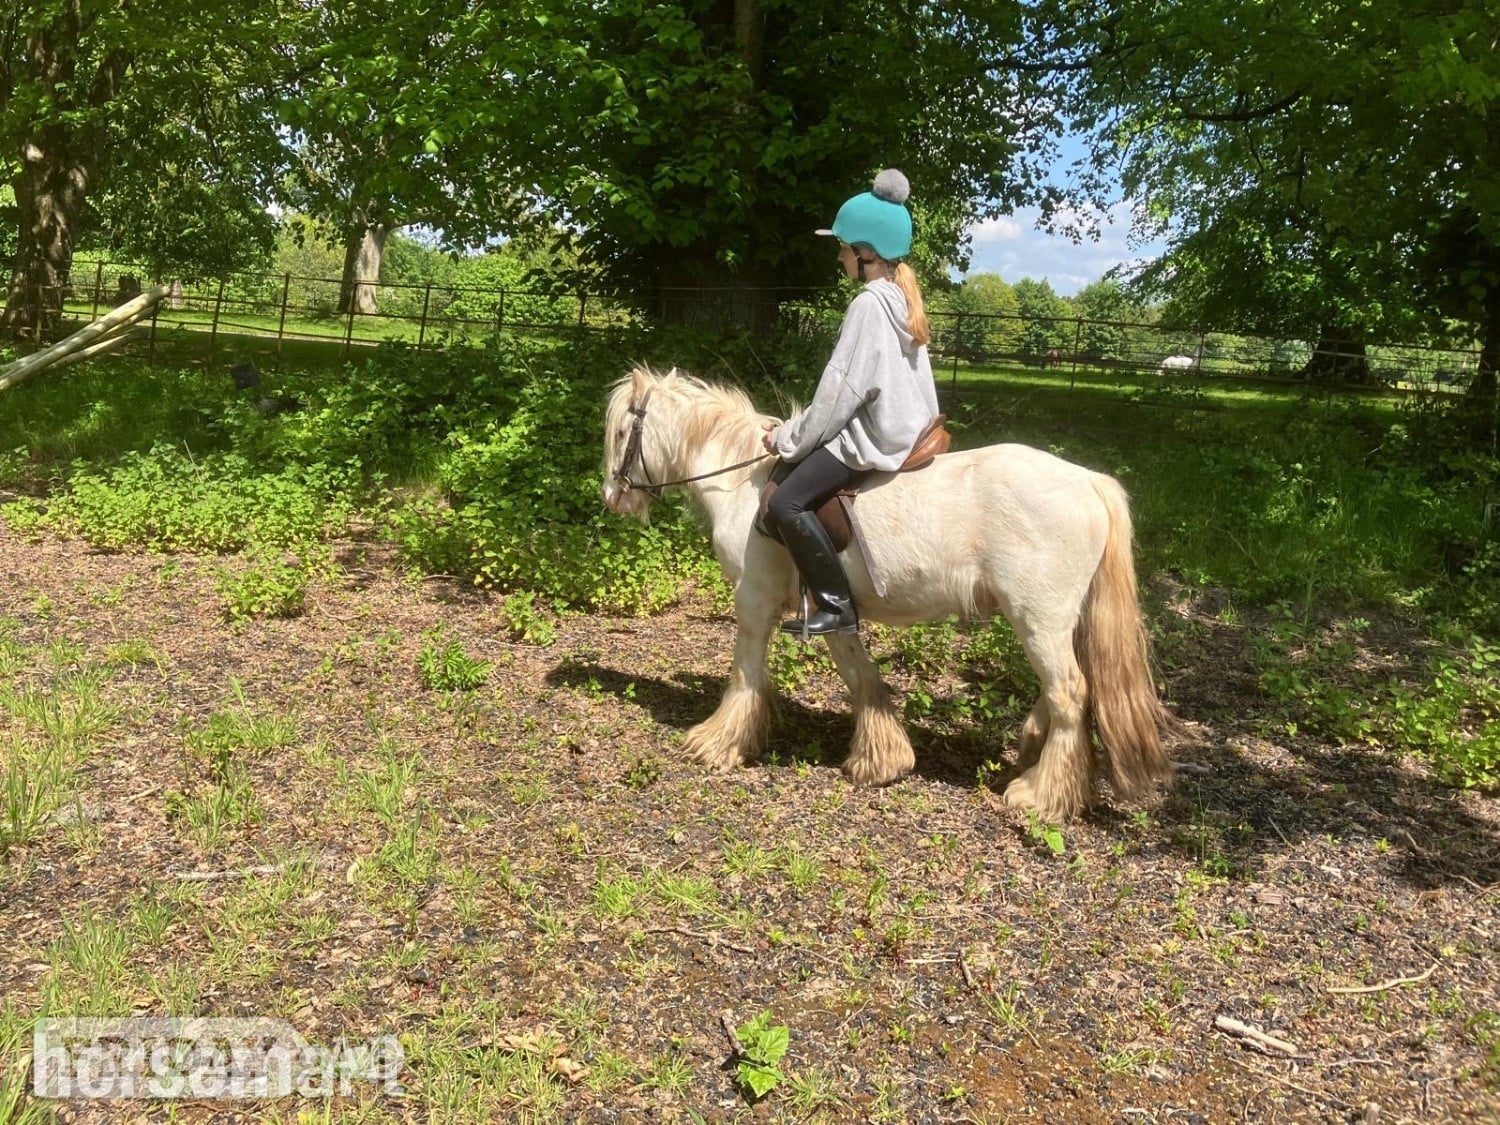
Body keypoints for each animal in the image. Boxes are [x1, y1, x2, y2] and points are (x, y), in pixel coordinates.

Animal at [600, 365, 1175, 822]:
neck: (743, 481)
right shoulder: (828, 606)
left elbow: (744, 674)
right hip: (1054, 622)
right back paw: (1033, 748)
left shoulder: (754, 601)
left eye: (624, 431)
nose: (611, 496)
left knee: (1070, 692)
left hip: (1037, 619)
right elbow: (859, 674)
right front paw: (883, 758)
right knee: (1066, 691)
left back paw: (1042, 794)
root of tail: (1089, 481)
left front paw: (716, 742)